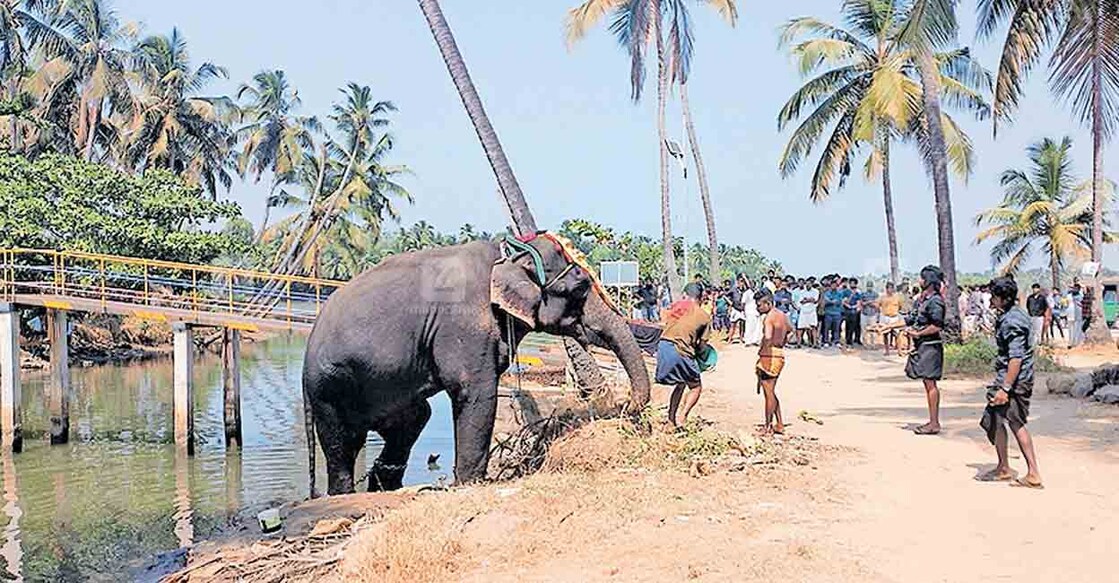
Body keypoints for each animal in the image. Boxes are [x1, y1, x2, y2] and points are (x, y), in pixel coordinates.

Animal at [302, 229, 653, 492]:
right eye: (580, 288)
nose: (625, 406)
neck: (508, 253)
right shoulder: (464, 323)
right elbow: (476, 391)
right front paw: (471, 483)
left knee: (414, 419)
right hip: (329, 387)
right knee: (341, 443)